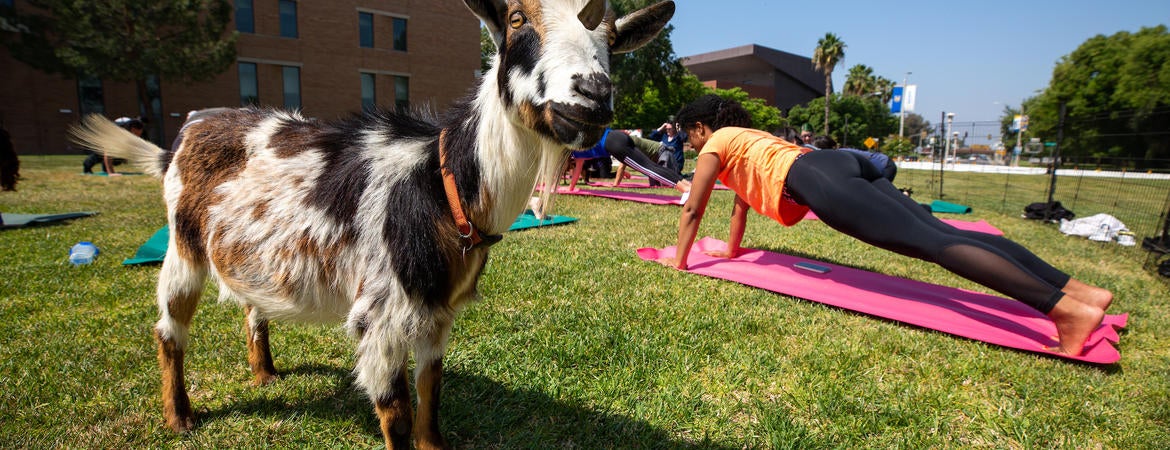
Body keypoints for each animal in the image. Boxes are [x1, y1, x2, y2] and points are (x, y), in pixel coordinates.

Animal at [70, 1, 678, 446]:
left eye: (611, 41)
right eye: (516, 20)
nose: (592, 95)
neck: (439, 181)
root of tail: (184, 134)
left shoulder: (435, 311)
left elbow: (432, 394)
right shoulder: (381, 316)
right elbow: (397, 413)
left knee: (252, 306)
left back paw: (265, 373)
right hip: (183, 245)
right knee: (168, 328)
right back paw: (180, 417)